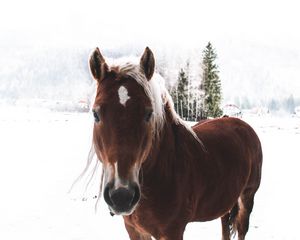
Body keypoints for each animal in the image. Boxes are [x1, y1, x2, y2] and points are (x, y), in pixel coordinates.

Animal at [88, 47, 262, 240]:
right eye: (95, 114)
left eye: (149, 113)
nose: (121, 196)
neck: (166, 167)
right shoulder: (134, 229)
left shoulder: (173, 231)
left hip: (248, 196)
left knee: (241, 229)